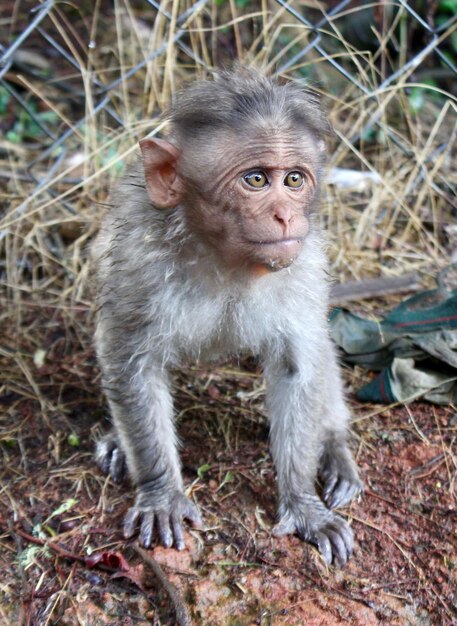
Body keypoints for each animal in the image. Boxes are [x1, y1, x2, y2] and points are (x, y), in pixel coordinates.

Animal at [94, 68, 362, 564]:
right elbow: (132, 362)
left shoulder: (304, 263)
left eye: (293, 179)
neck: (227, 258)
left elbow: (299, 366)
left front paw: (303, 503)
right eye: (255, 179)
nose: (285, 215)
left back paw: (334, 447)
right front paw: (162, 493)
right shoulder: (139, 260)